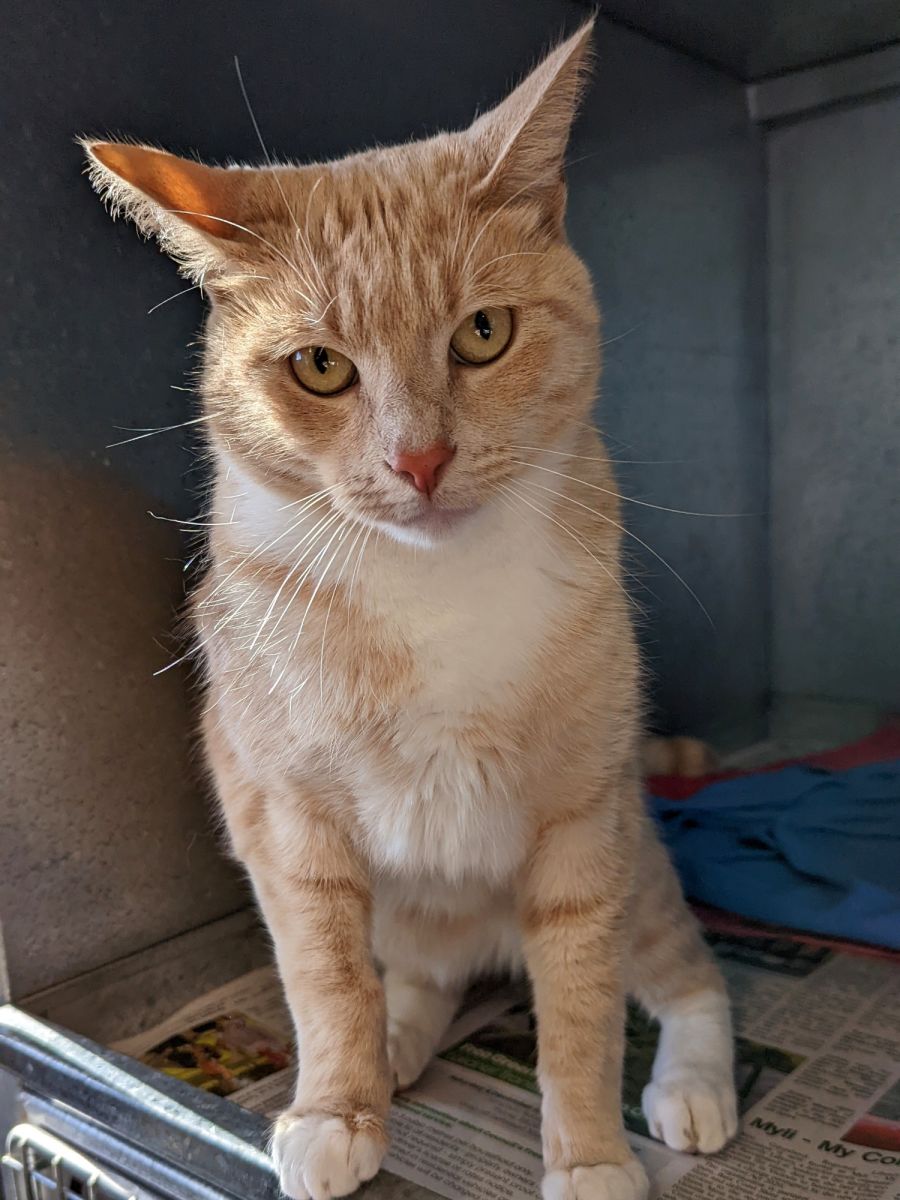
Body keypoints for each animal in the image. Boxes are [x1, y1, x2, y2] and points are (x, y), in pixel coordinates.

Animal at [84, 20, 737, 1200]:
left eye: (482, 334)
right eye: (319, 366)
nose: (419, 460)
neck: (432, 589)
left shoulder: (581, 828)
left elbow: (582, 1014)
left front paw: (589, 1155)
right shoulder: (288, 825)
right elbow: (326, 984)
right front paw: (337, 1106)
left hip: (640, 865)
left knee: (688, 977)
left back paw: (694, 1085)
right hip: (401, 906)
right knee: (417, 980)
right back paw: (393, 1049)